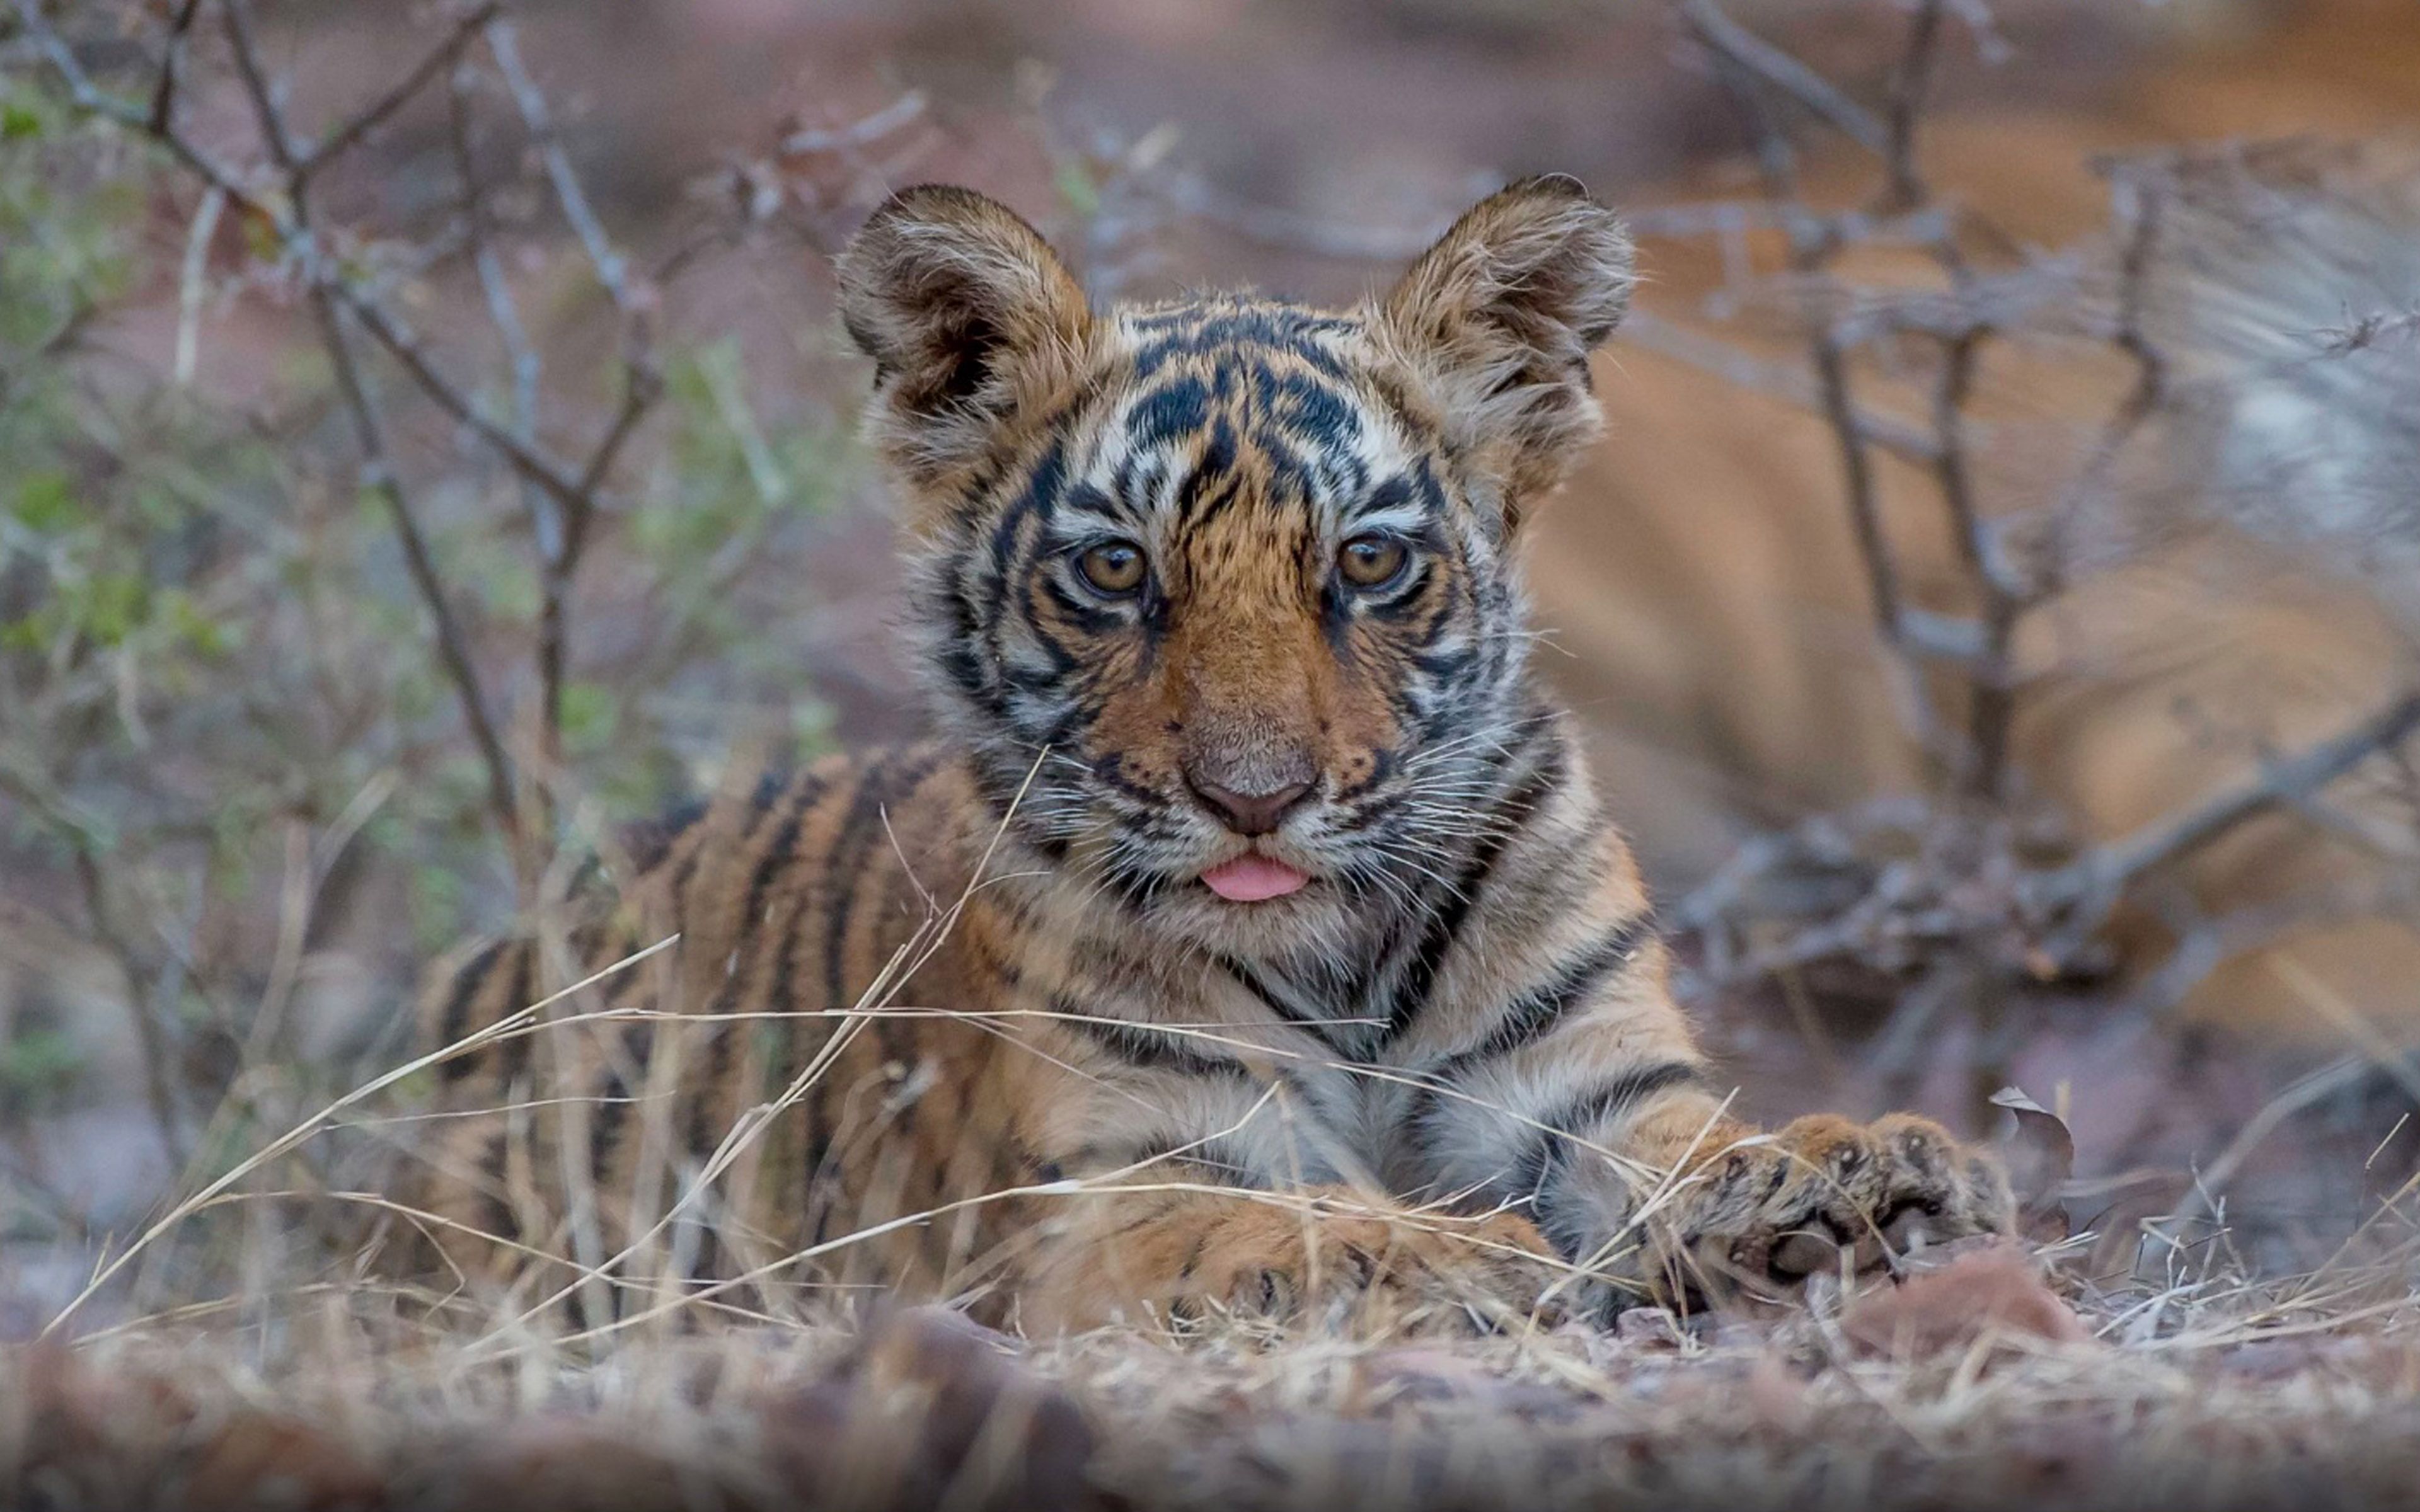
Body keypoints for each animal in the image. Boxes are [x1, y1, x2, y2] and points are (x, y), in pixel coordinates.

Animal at [407, 176, 2014, 1334]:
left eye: (1368, 562)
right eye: (1117, 570)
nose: (1255, 799)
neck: (1342, 955)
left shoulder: (1589, 1085)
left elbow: (1701, 1143)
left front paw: (1857, 1170)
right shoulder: (1120, 1184)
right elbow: (1280, 1224)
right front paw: (1461, 1258)